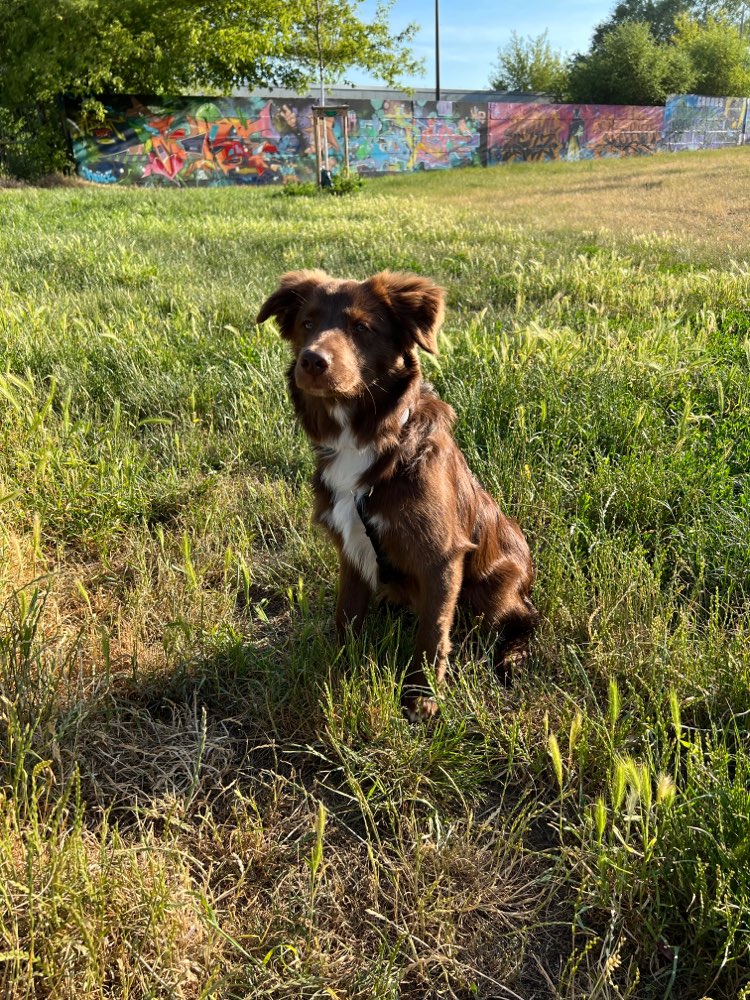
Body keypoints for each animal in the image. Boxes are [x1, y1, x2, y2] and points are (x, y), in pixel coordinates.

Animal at [256, 268, 536, 720]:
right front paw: (337, 661)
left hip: (496, 587)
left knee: (524, 619)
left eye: (361, 327)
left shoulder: (441, 558)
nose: (312, 360)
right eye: (307, 323)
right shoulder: (351, 548)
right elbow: (347, 613)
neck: (369, 440)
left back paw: (512, 657)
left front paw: (421, 696)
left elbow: (433, 632)